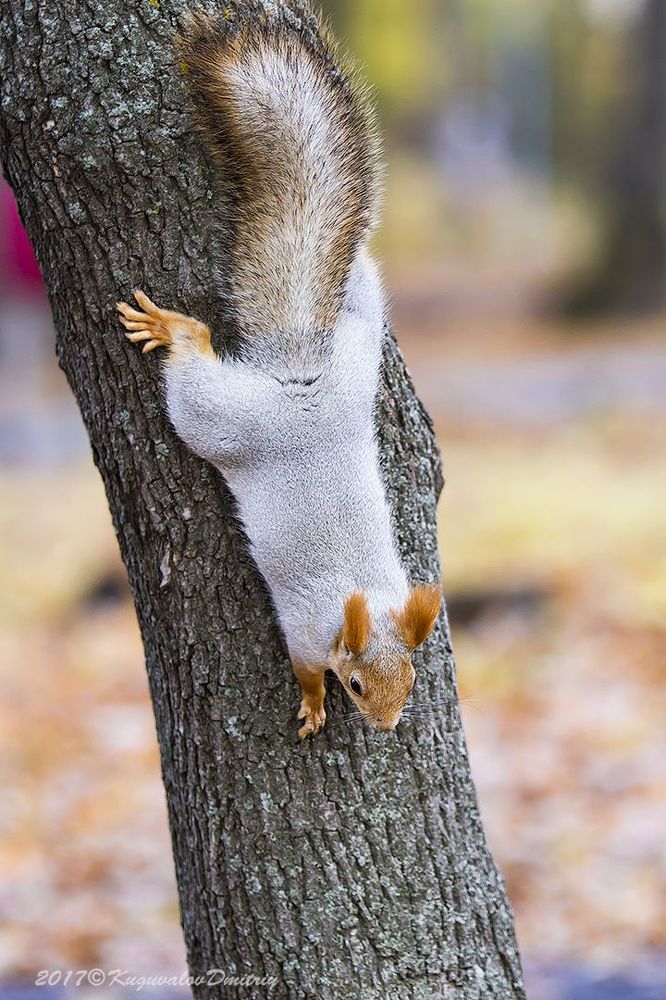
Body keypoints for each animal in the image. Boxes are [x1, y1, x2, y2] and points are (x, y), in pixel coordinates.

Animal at [117, 3, 441, 738]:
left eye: (411, 679)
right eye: (357, 684)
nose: (387, 725)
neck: (363, 596)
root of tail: (299, 372)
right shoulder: (301, 630)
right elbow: (303, 670)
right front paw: (313, 707)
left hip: (356, 358)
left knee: (361, 299)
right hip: (219, 414)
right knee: (196, 357)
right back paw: (172, 329)